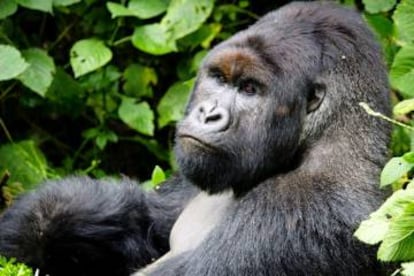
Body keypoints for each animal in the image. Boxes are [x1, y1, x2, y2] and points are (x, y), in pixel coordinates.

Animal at [0, 2, 392, 276]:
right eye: (219, 78)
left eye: (250, 89)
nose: (208, 113)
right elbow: (143, 221)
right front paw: (39, 221)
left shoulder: (295, 212)